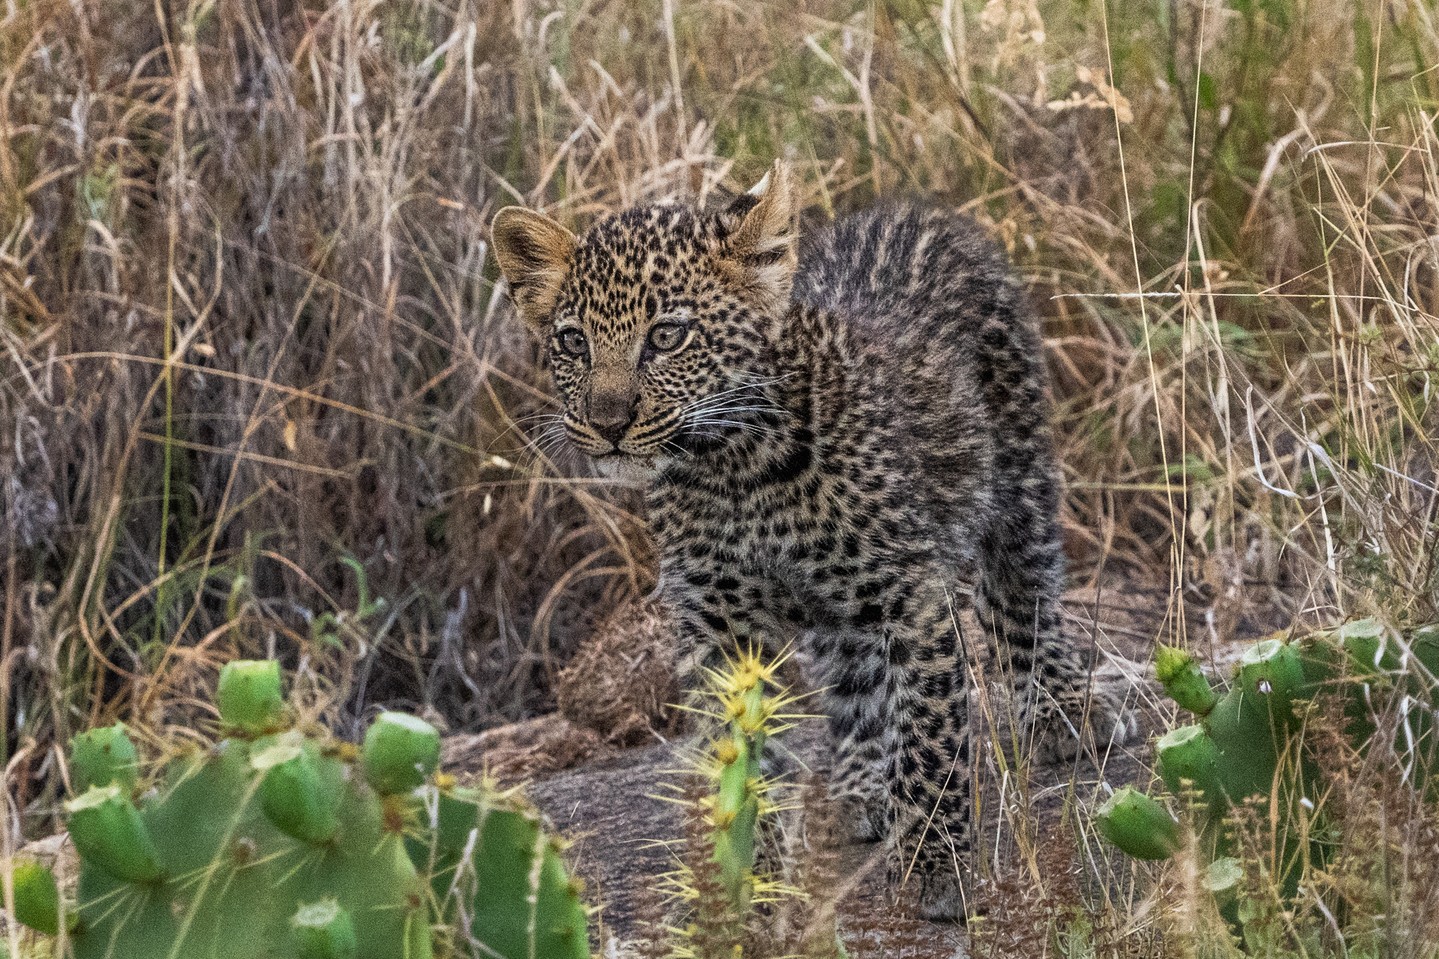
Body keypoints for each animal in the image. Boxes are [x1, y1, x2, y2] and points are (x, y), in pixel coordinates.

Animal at [489, 161, 1135, 920]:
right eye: (573, 342)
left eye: (668, 336)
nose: (608, 422)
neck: (733, 468)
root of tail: (910, 209)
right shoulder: (719, 624)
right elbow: (738, 753)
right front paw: (745, 882)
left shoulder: (910, 595)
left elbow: (930, 738)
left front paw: (935, 869)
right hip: (844, 603)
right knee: (855, 671)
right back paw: (860, 784)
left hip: (1019, 469)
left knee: (1021, 594)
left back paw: (1063, 713)